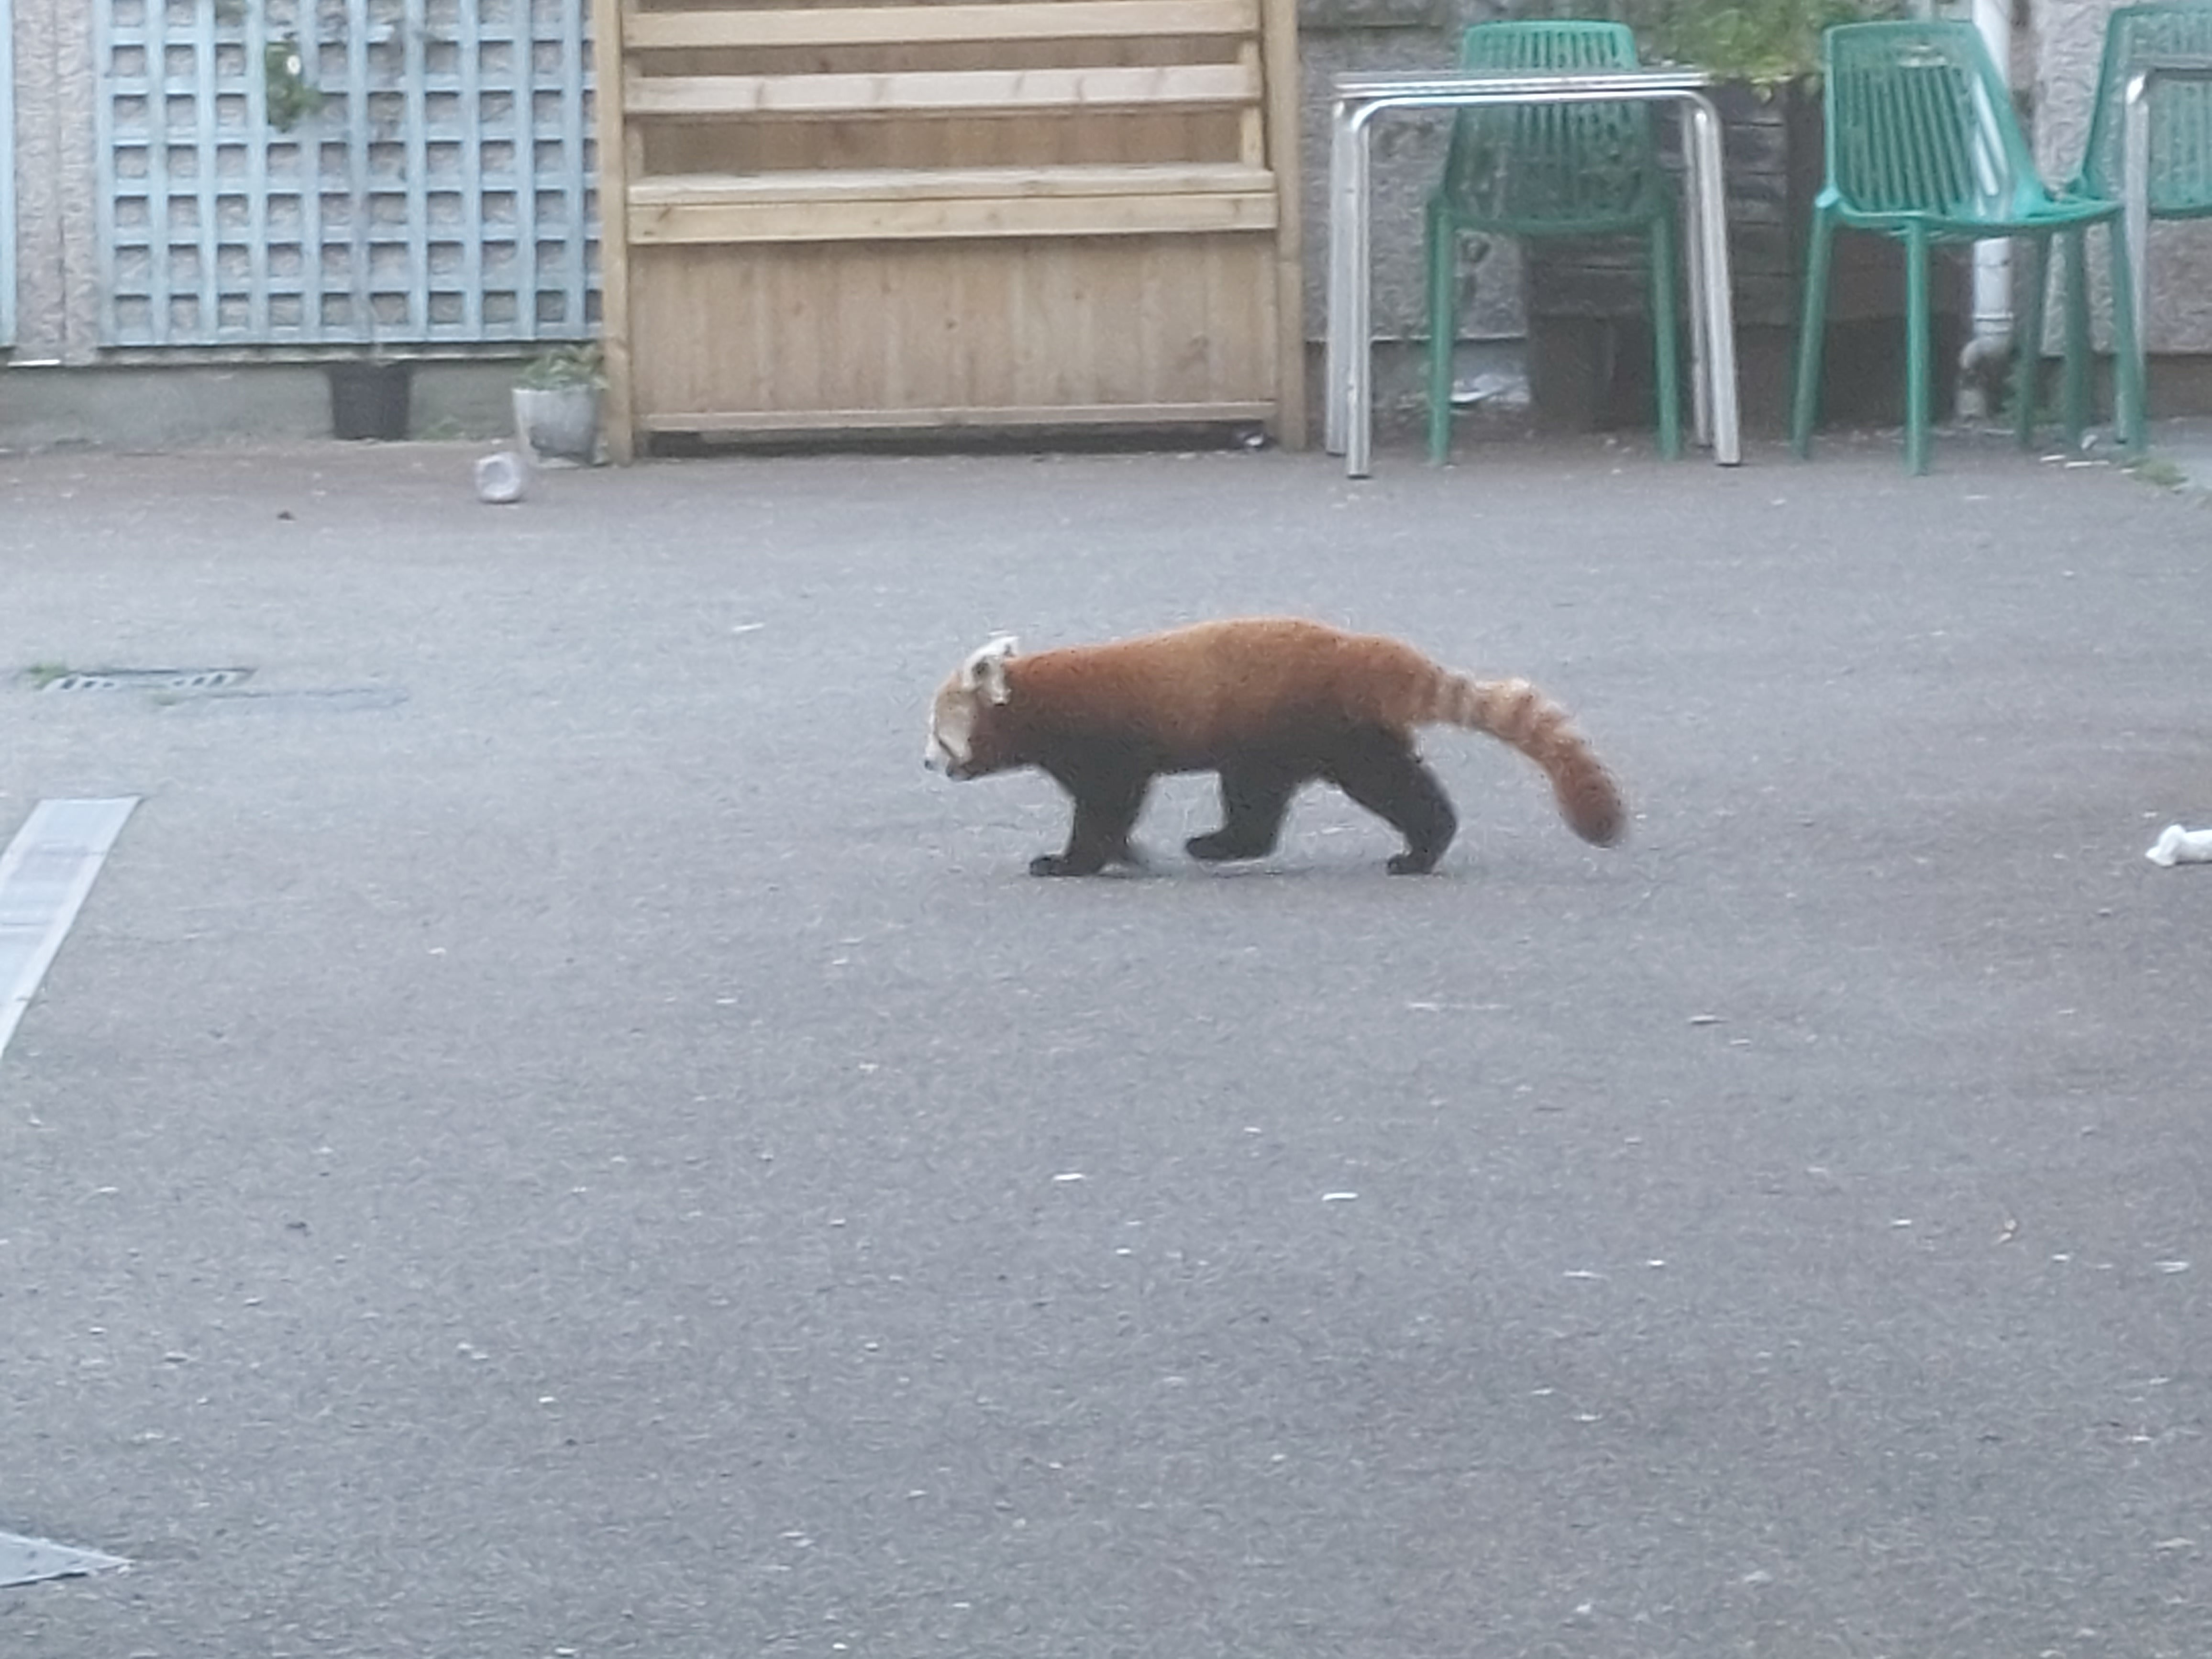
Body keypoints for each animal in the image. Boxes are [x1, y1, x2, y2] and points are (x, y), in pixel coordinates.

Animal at [920, 619, 1628, 876]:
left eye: (936, 733)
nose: (927, 763)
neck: (1036, 698)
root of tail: (1362, 650)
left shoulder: (1102, 745)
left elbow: (1106, 805)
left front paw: (1071, 862)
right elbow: (1116, 811)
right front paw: (1127, 854)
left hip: (1306, 730)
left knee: (1338, 791)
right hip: (1318, 734)